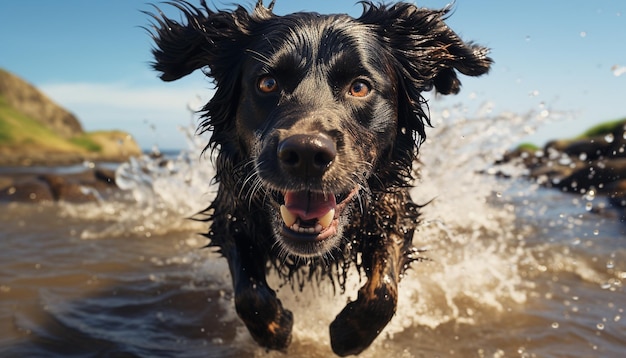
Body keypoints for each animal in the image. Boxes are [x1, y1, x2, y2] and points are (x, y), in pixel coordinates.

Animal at [147, 1, 488, 356]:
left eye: (360, 87)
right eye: (267, 83)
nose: (306, 154)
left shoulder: (393, 212)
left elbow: (383, 291)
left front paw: (349, 335)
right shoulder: (232, 211)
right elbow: (249, 293)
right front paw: (276, 331)